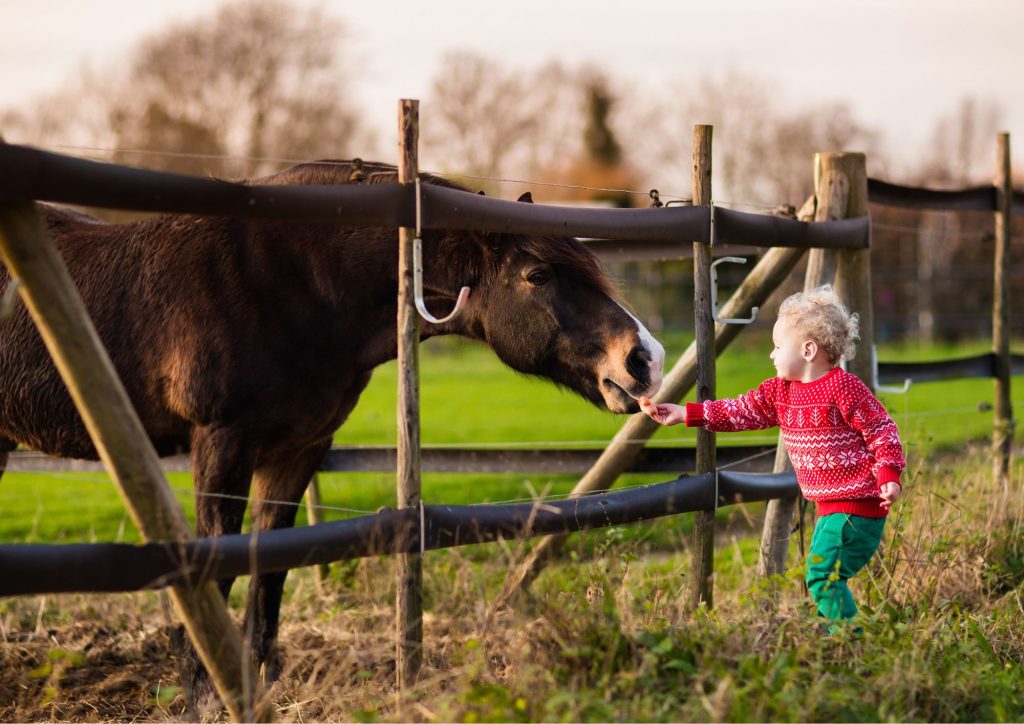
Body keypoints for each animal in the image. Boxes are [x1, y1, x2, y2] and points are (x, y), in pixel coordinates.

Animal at [0, 161, 663, 704]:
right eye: (537, 274)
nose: (644, 358)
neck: (288, 281)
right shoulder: (221, 443)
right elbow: (218, 564)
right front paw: (207, 694)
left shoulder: (297, 450)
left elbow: (270, 567)